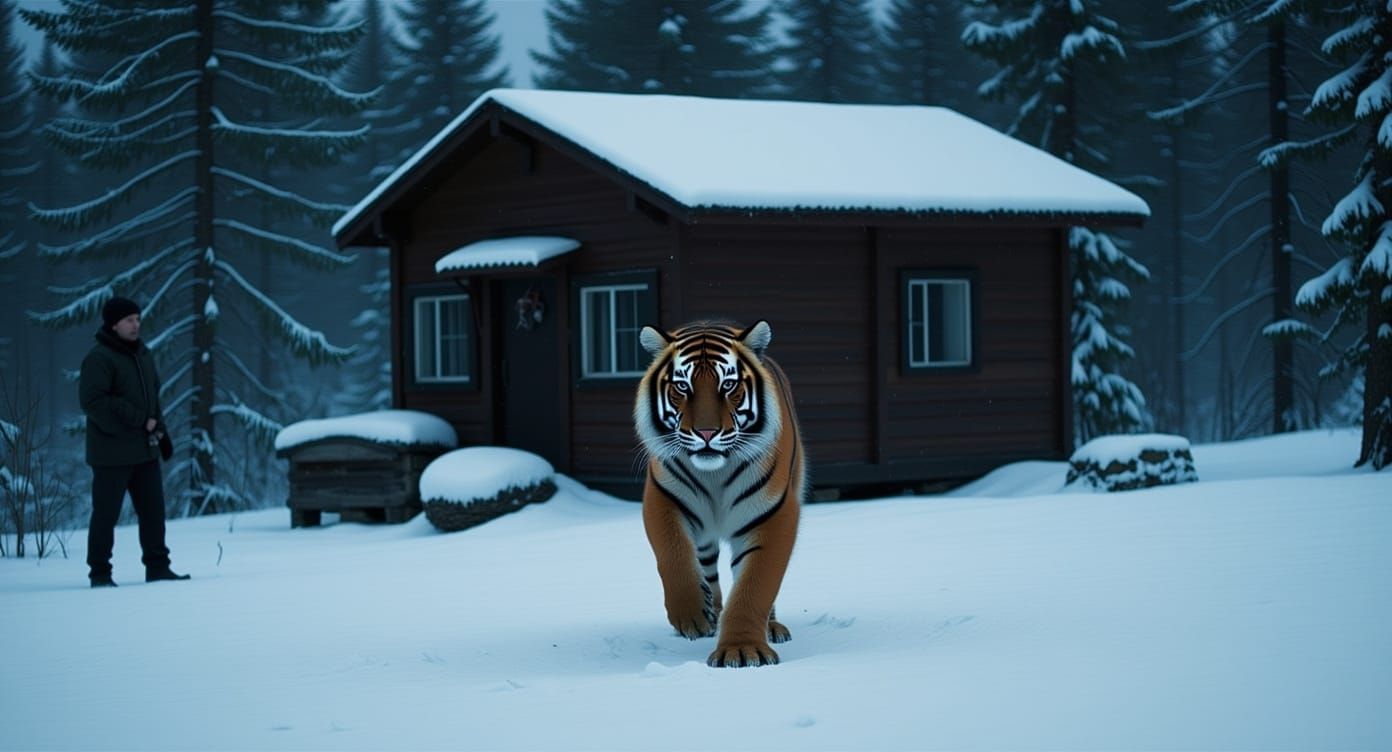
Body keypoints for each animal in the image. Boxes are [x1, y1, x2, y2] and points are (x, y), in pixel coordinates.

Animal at [633, 320, 806, 668]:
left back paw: (771, 627)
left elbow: (756, 585)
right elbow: (672, 555)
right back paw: (710, 615)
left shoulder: (775, 513)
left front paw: (742, 649)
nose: (706, 432)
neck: (716, 474)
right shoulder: (662, 498)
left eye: (728, 385)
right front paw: (692, 615)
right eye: (682, 387)